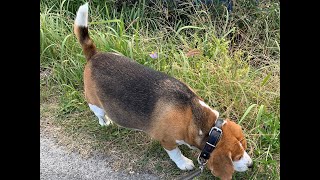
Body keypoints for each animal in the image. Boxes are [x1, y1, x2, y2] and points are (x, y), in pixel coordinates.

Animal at [74, 2, 254, 179]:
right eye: (236, 157)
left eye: (244, 146)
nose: (251, 165)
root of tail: (94, 55)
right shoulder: (167, 140)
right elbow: (176, 154)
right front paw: (184, 163)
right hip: (94, 103)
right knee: (99, 114)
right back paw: (105, 122)